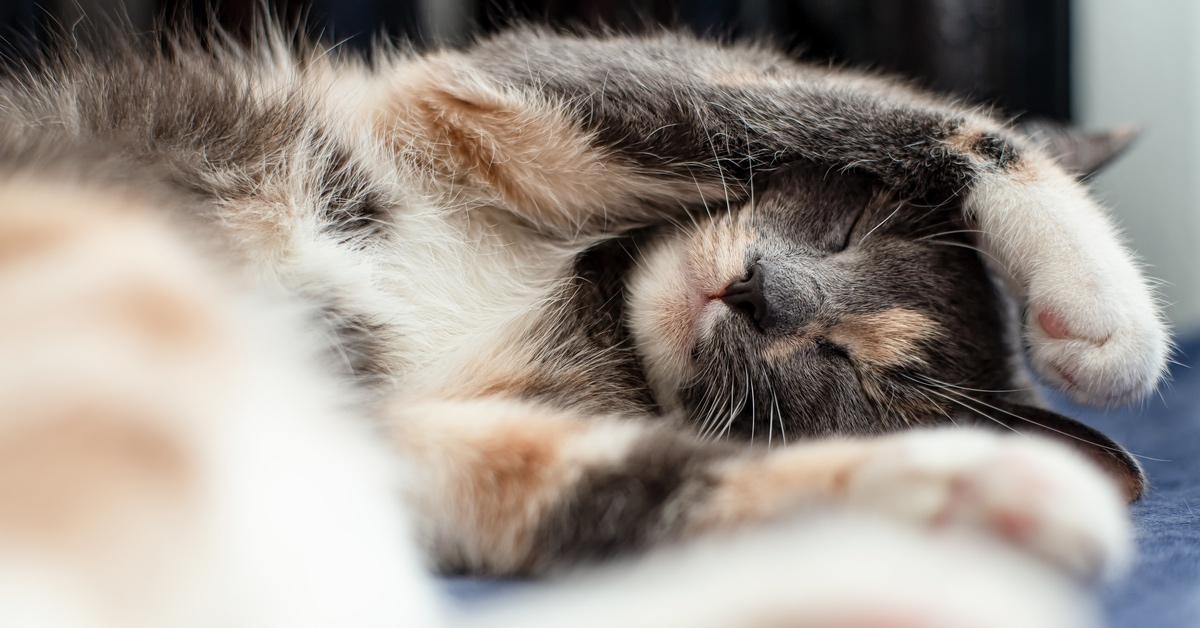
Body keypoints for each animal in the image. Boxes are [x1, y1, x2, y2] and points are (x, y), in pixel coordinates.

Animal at [0, 19, 1166, 628]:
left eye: (849, 369)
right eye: (842, 227)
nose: (763, 295)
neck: (592, 304)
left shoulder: (401, 434)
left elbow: (608, 479)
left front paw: (975, 493)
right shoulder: (512, 85)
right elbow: (857, 107)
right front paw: (1101, 302)